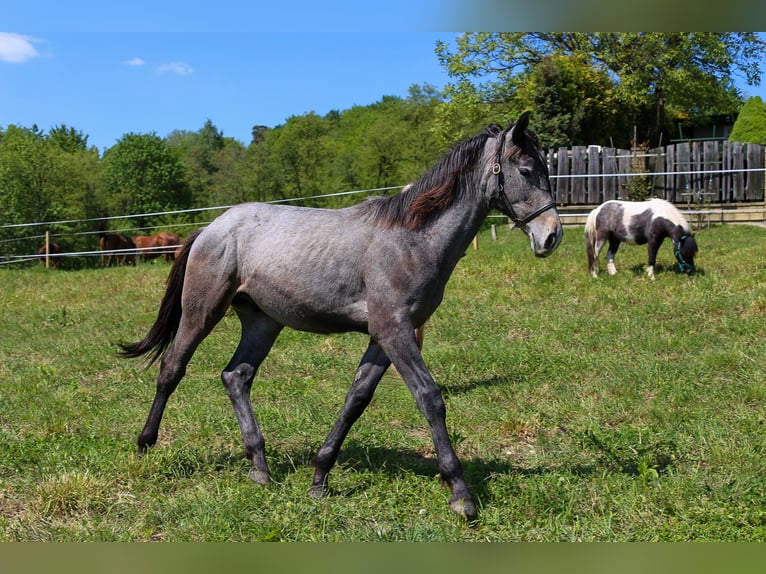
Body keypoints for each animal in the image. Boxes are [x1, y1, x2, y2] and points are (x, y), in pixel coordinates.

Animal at [120, 112, 564, 520]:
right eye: (526, 170)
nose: (551, 236)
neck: (411, 238)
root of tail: (212, 227)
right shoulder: (395, 331)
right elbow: (430, 398)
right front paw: (461, 495)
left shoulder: (383, 337)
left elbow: (356, 399)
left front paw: (319, 477)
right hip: (202, 311)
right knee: (172, 368)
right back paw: (145, 445)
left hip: (263, 322)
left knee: (236, 377)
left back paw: (260, 467)